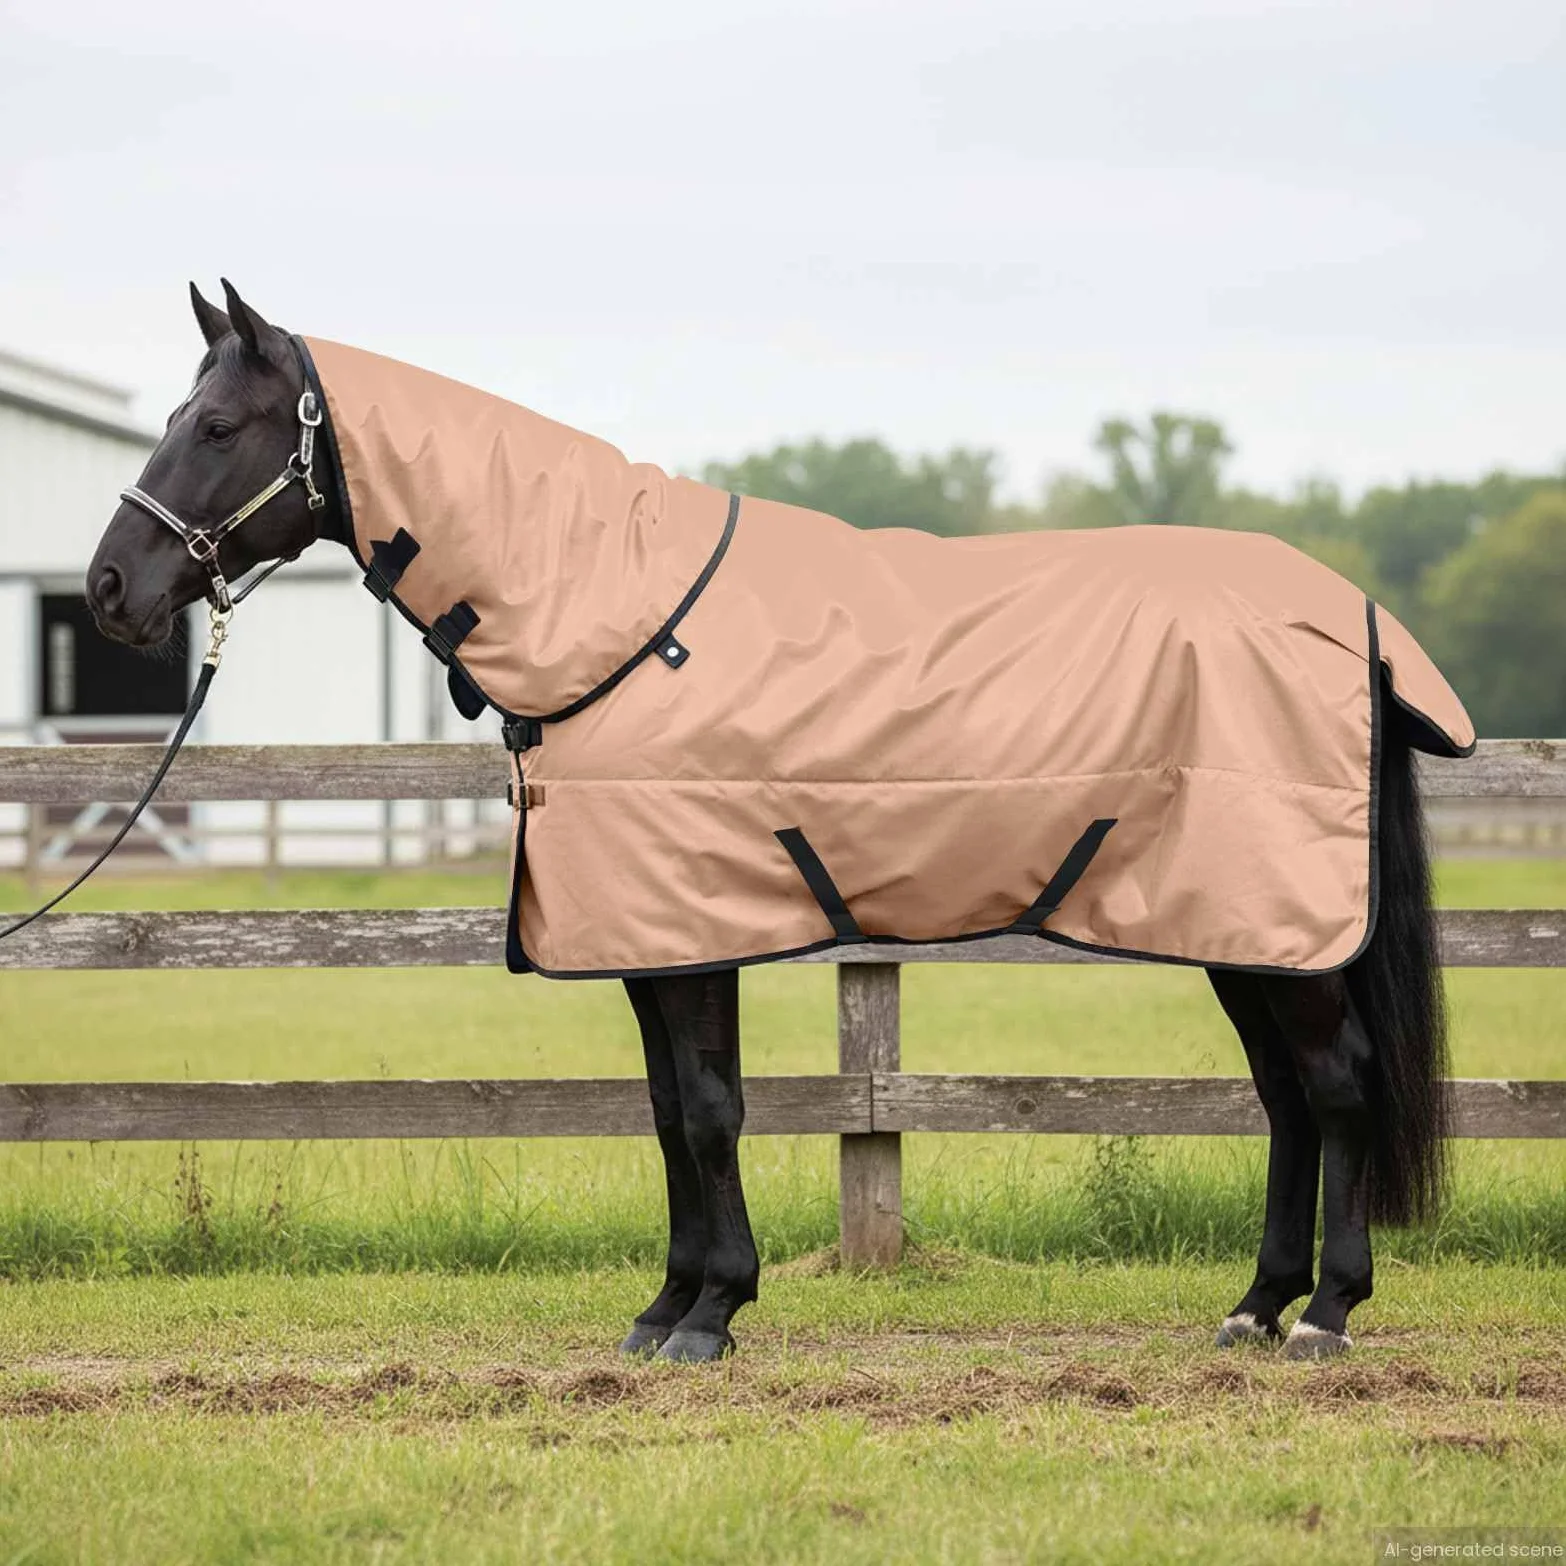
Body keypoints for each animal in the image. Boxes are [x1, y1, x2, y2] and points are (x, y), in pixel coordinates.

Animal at [85, 279, 1464, 1363]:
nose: (108, 589)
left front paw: (710, 1316)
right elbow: (664, 1112)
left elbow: (708, 1109)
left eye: (215, 425)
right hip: (1244, 930)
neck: (615, 618)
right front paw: (665, 1309)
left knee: (1336, 1088)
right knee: (1287, 1099)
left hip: (1280, 926)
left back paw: (1325, 1316)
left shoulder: (691, 929)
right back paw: (1255, 1306)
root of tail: (1352, 617)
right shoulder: (646, 938)